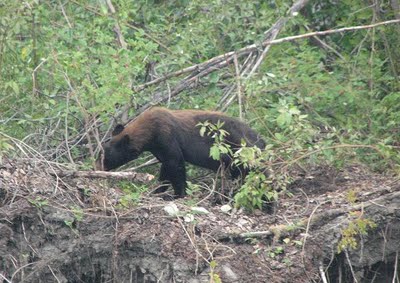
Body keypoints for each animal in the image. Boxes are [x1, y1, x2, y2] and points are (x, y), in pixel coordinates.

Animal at [96, 107, 266, 199]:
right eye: (100, 155)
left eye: (104, 155)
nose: (97, 167)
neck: (150, 132)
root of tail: (262, 140)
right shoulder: (160, 149)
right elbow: (166, 168)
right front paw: (157, 191)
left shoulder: (167, 137)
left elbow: (176, 164)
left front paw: (179, 194)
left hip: (241, 149)